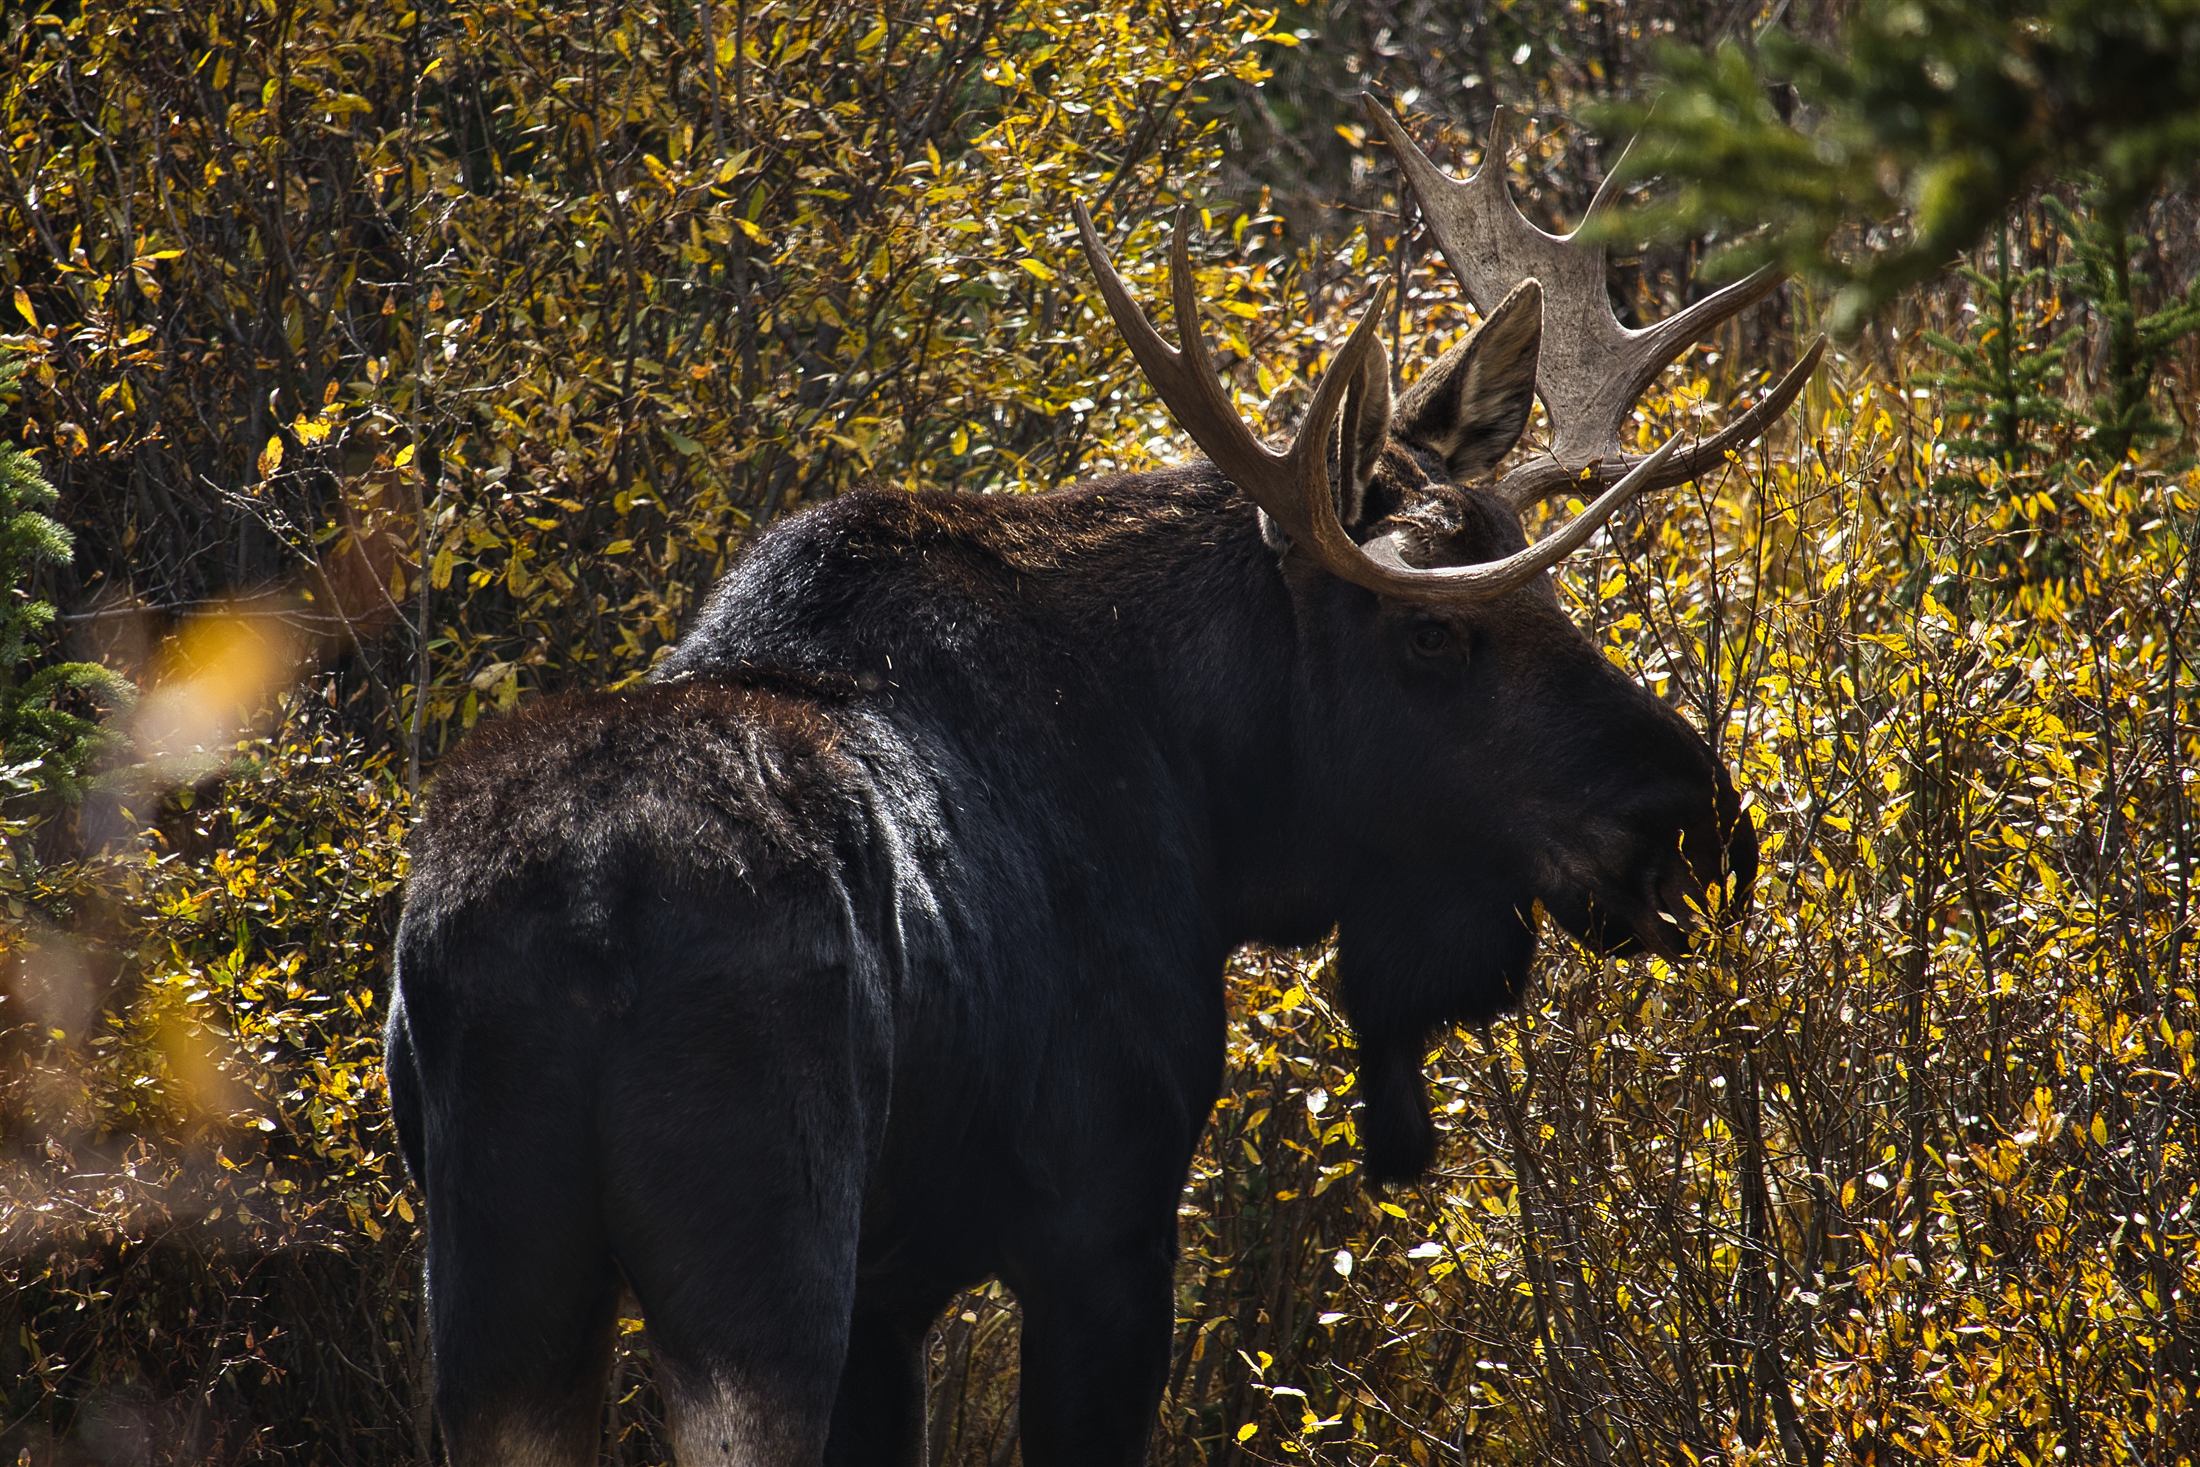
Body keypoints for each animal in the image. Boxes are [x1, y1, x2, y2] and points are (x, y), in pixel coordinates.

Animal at [383, 101, 1821, 1465]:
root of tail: (582, 919)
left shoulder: (896, 1293)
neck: (1217, 815)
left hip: (497, 1284)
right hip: (760, 1257)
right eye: (1430, 631)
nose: (1702, 830)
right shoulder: (1105, 1223)